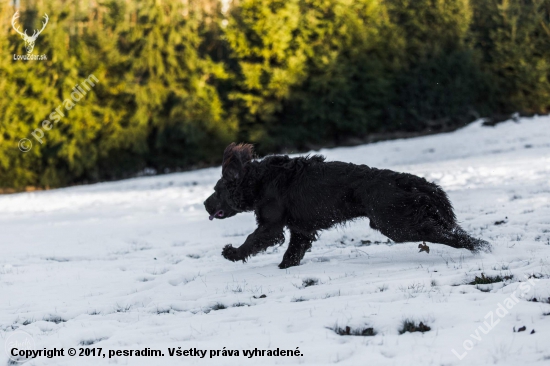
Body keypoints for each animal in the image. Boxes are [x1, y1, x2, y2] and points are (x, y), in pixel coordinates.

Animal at [206, 143, 492, 268]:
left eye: (217, 191)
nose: (205, 204)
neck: (258, 179)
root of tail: (402, 179)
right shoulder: (301, 230)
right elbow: (294, 251)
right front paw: (286, 267)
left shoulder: (271, 225)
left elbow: (252, 240)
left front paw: (232, 253)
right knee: (449, 230)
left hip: (397, 224)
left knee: (448, 236)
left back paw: (479, 247)